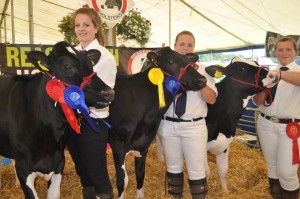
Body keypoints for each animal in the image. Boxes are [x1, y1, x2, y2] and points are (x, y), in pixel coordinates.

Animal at [108, 47, 206, 199]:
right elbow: (122, 181)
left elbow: (140, 174)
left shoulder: (143, 144)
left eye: (188, 61)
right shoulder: (117, 144)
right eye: (170, 61)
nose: (202, 79)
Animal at [205, 56, 270, 190]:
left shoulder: (225, 143)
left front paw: (225, 192)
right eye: (241, 68)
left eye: (256, 63)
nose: (271, 73)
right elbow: (205, 173)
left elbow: (223, 170)